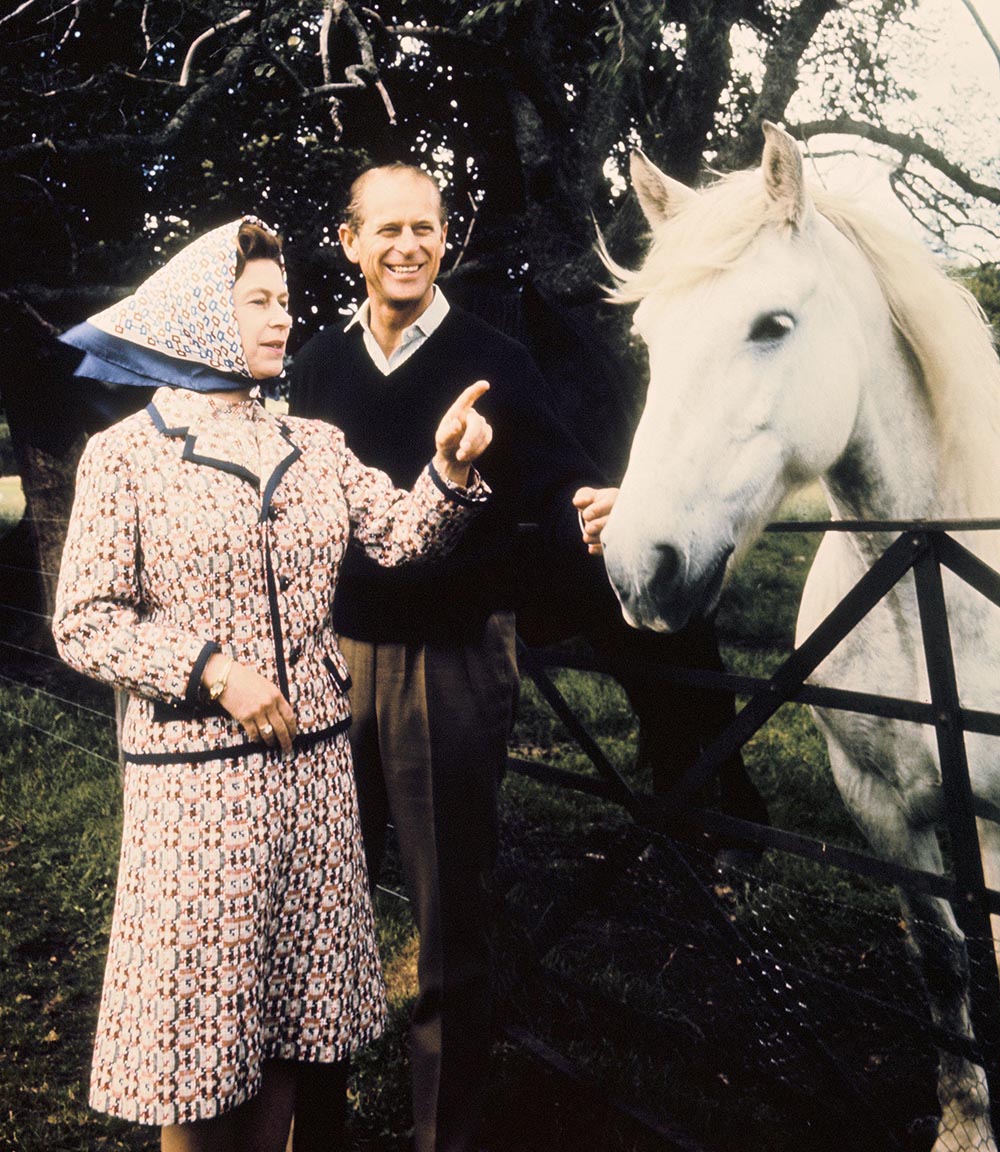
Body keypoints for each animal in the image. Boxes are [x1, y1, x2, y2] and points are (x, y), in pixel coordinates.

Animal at [599, 121, 1000, 1147]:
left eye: (772, 325)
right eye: (648, 340)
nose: (637, 567)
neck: (932, 597)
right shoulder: (879, 803)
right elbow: (942, 959)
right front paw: (964, 1120)